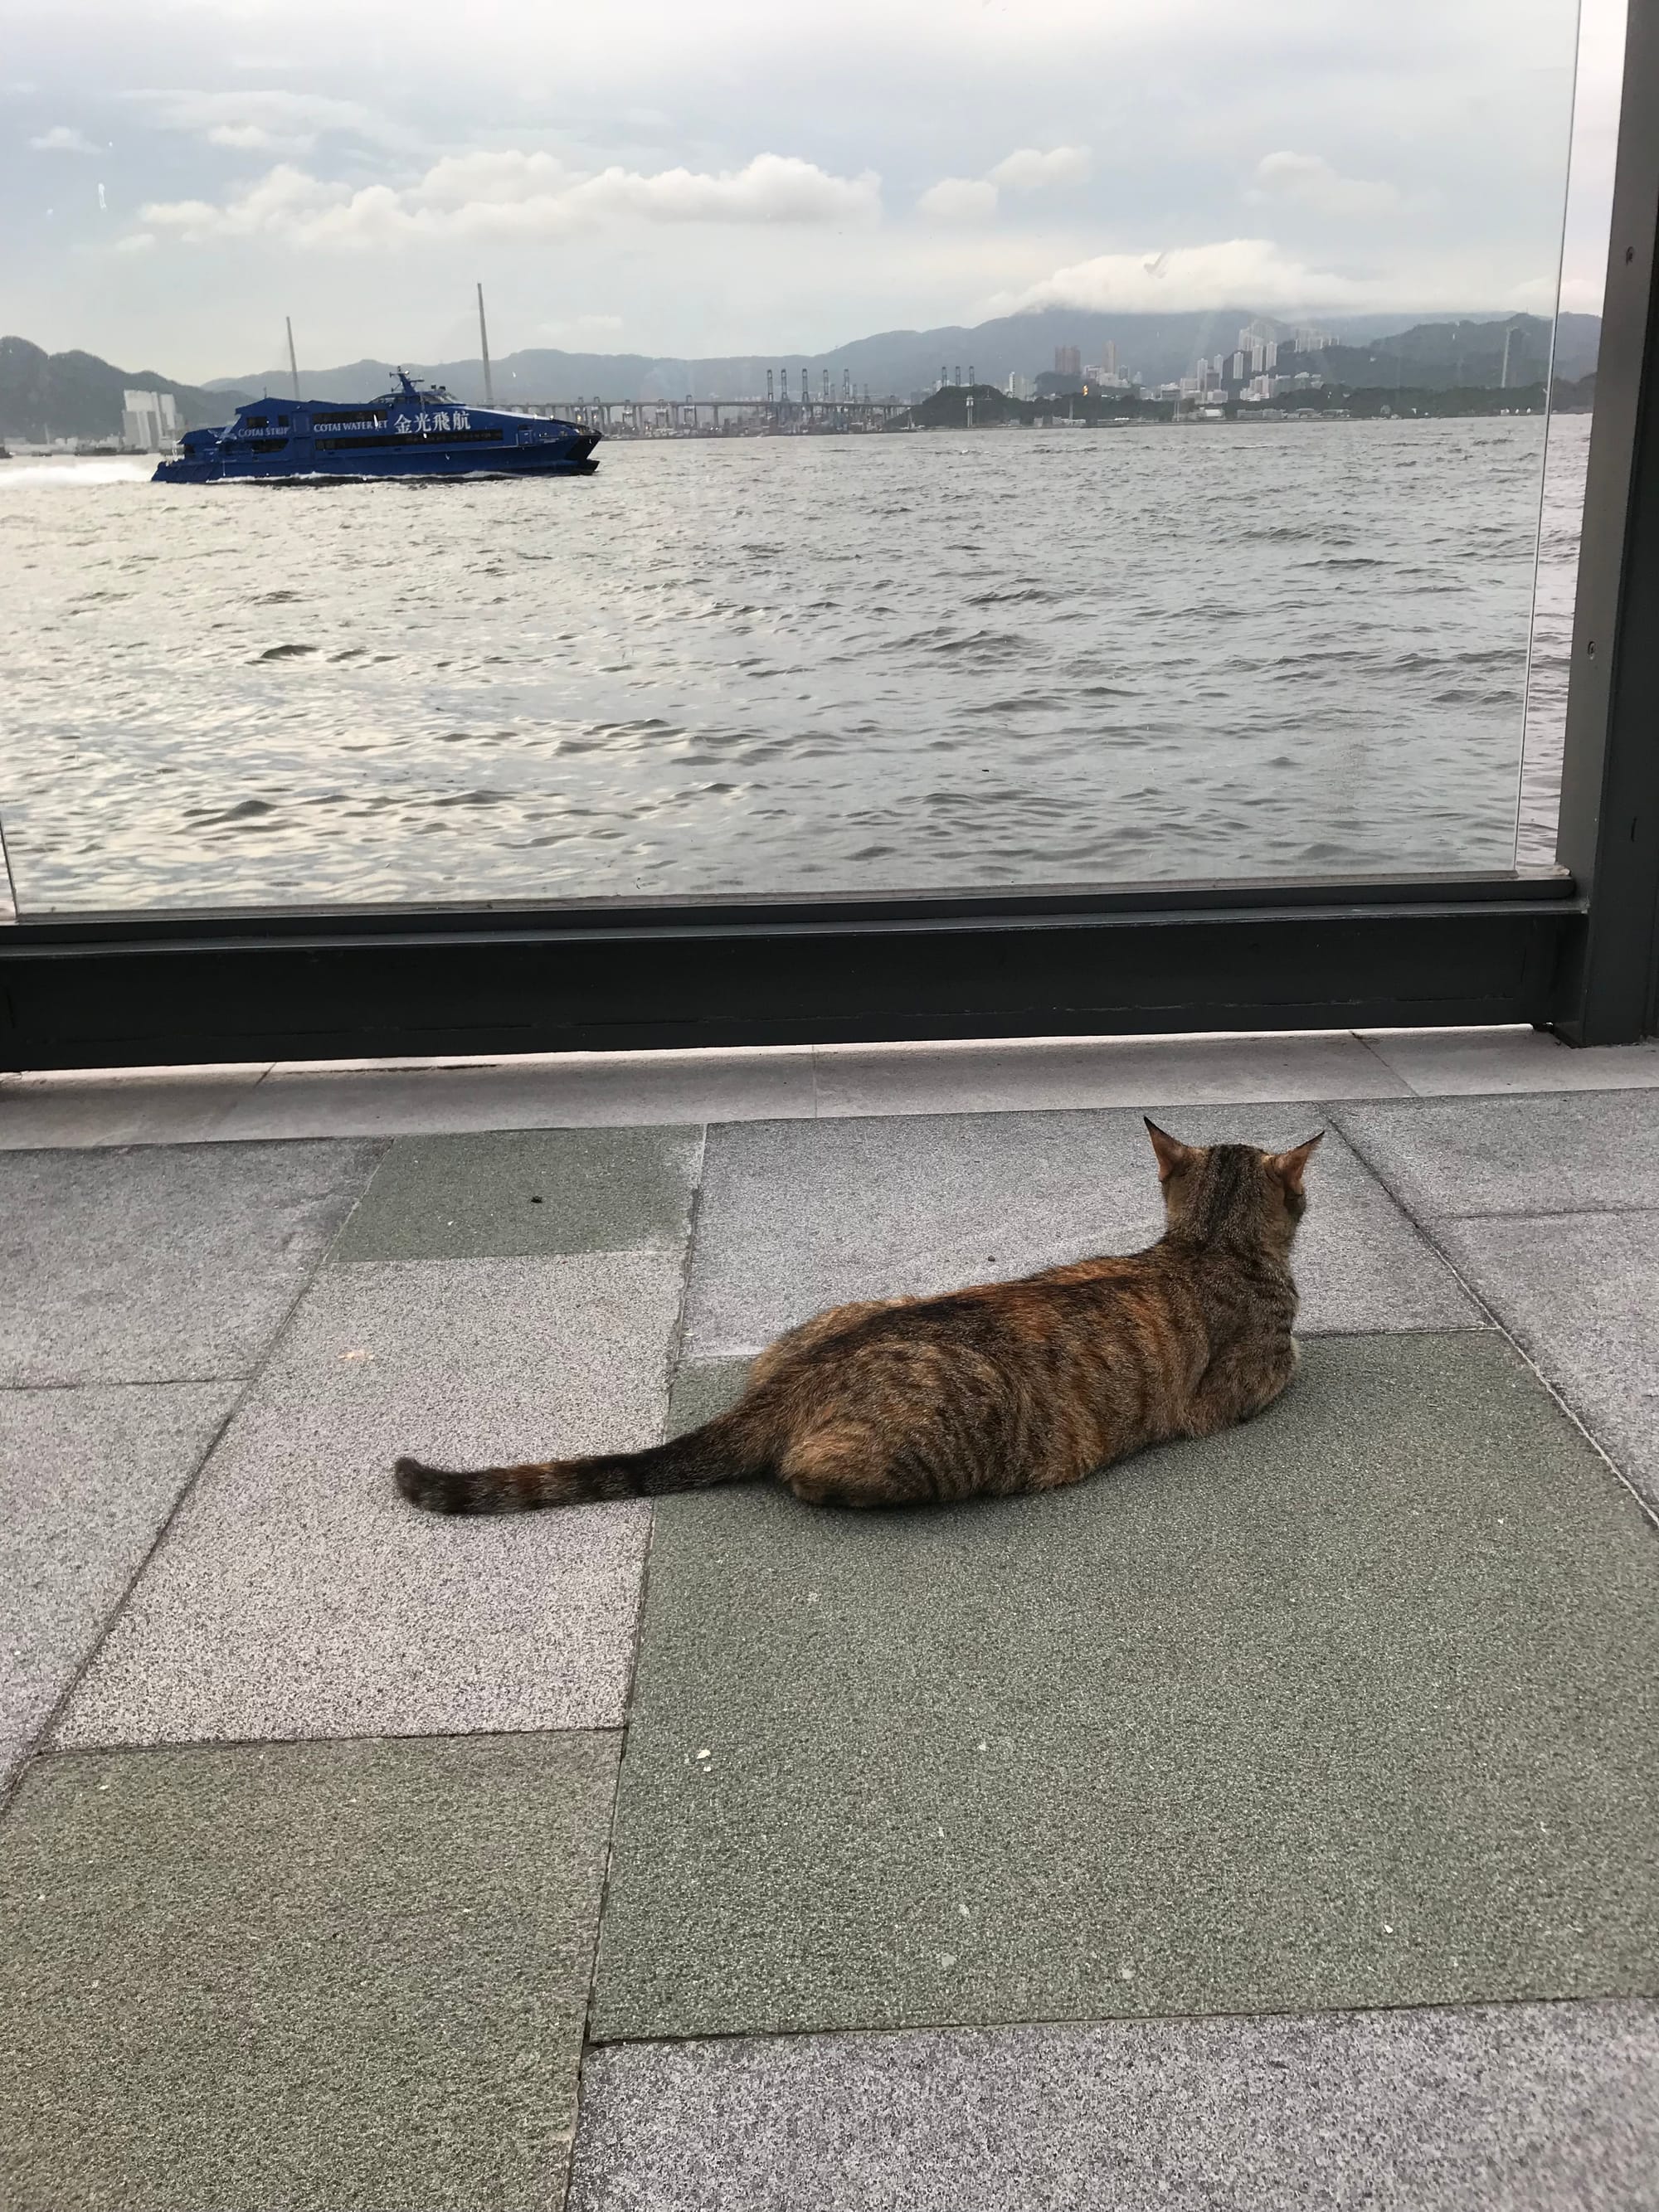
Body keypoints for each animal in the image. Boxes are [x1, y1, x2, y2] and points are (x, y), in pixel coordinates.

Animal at [396, 1123, 1318, 1521]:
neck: (1205, 1242)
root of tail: (788, 1384)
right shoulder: (1246, 1386)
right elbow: (1295, 1357)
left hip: (840, 1312)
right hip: (936, 1442)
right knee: (805, 1473)